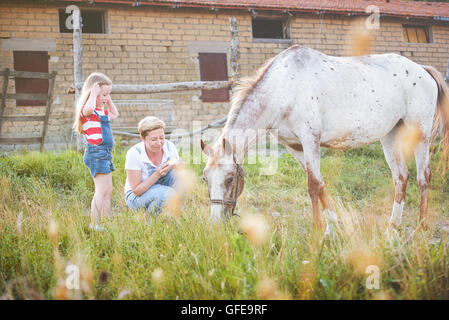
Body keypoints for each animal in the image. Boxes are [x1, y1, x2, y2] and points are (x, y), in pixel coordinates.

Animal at [200, 44, 448, 235]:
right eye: (205, 179)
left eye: (230, 178)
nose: (215, 224)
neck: (282, 89)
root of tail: (423, 70)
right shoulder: (295, 147)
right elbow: (320, 184)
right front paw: (331, 227)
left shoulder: (311, 140)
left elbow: (312, 185)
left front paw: (318, 230)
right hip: (389, 137)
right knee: (401, 178)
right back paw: (392, 228)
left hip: (421, 136)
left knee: (423, 177)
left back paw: (421, 229)